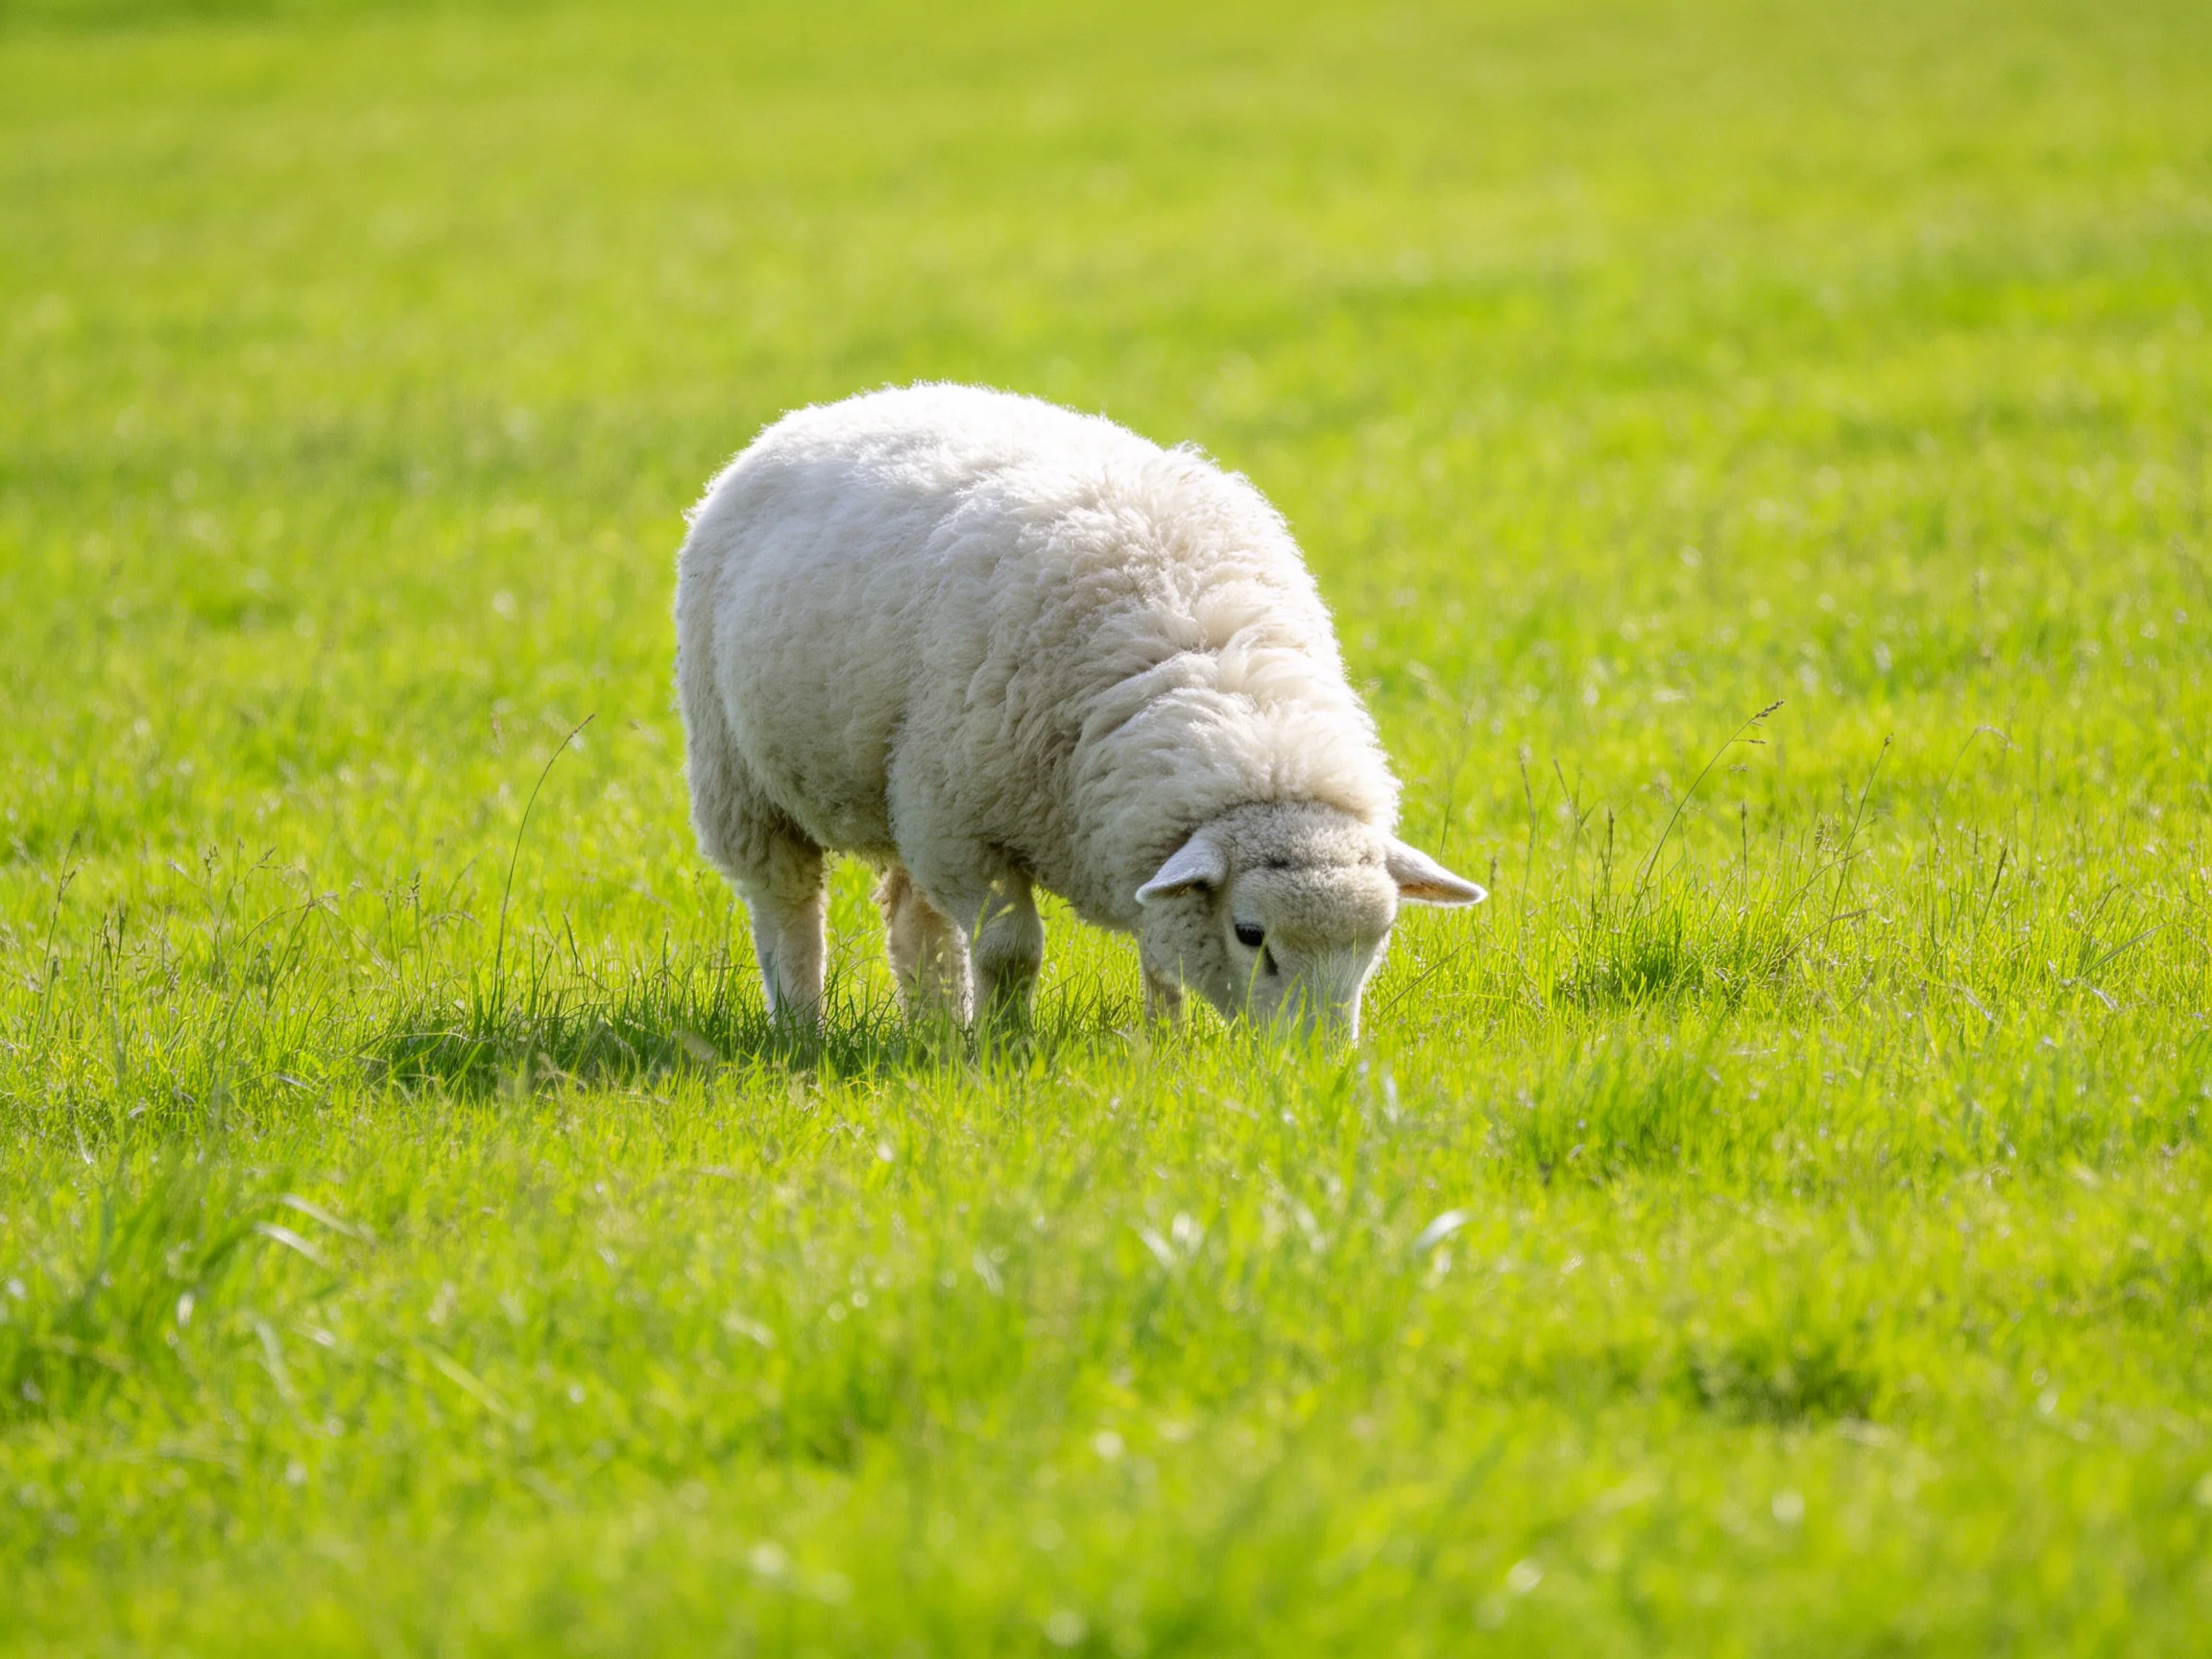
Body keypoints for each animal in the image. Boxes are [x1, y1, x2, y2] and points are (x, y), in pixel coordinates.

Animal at [674, 383, 1484, 1037]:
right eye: (1251, 934)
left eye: (1376, 940)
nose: (1317, 1068)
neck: (1221, 685)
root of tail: (839, 406)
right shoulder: (962, 825)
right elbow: (1010, 952)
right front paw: (1004, 1048)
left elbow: (1158, 954)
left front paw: (1165, 1044)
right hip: (741, 778)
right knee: (787, 908)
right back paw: (804, 1028)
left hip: (895, 786)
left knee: (914, 921)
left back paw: (933, 1028)